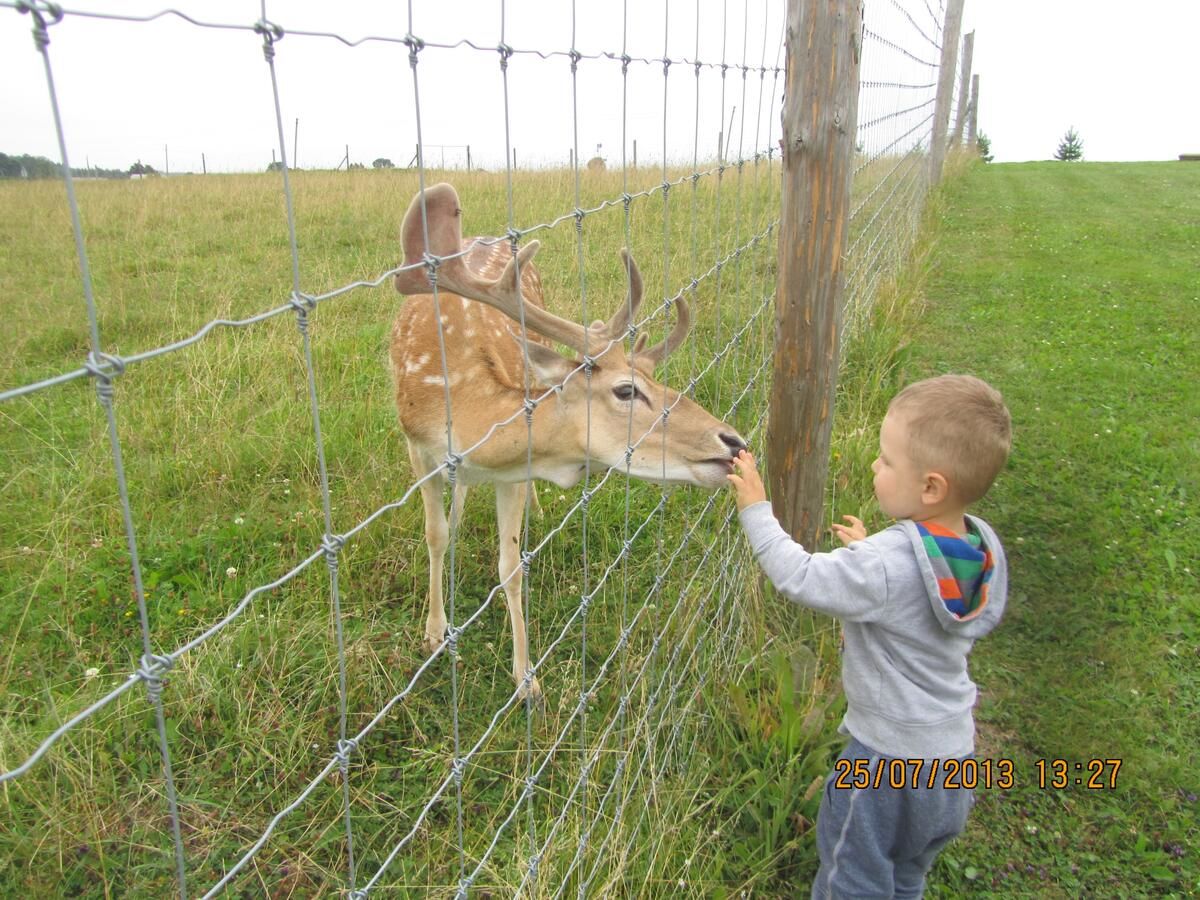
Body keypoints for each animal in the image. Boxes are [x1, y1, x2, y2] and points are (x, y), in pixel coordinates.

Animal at [388, 183, 744, 700]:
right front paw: (434, 633)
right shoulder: (417, 446)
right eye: (626, 390)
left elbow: (511, 567)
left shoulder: (514, 471)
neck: (464, 414)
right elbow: (435, 536)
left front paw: (525, 679)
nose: (733, 441)